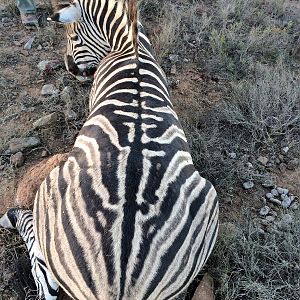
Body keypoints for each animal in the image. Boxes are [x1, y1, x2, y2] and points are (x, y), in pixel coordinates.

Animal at [0, 0, 218, 298]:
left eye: (73, 36)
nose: (69, 68)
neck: (129, 47)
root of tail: (122, 281)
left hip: (48, 197)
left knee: (40, 261)